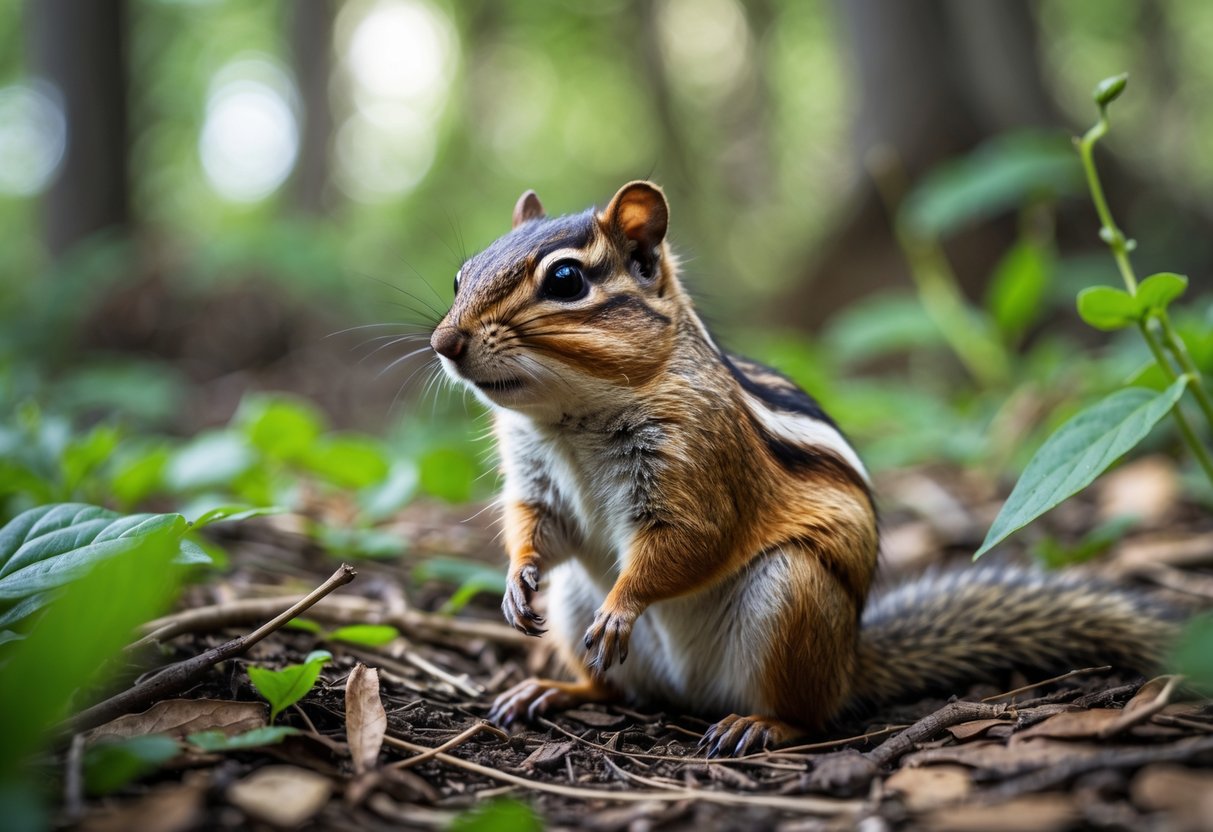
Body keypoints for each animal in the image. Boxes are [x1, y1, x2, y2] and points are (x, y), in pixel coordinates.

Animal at [428, 181, 1181, 757]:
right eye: (462, 274)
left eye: (565, 280)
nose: (444, 341)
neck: (569, 419)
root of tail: (849, 665)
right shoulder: (536, 478)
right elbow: (535, 526)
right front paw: (515, 580)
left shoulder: (700, 465)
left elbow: (689, 542)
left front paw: (623, 606)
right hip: (573, 603)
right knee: (610, 687)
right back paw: (552, 689)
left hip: (791, 596)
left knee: (807, 716)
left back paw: (758, 725)